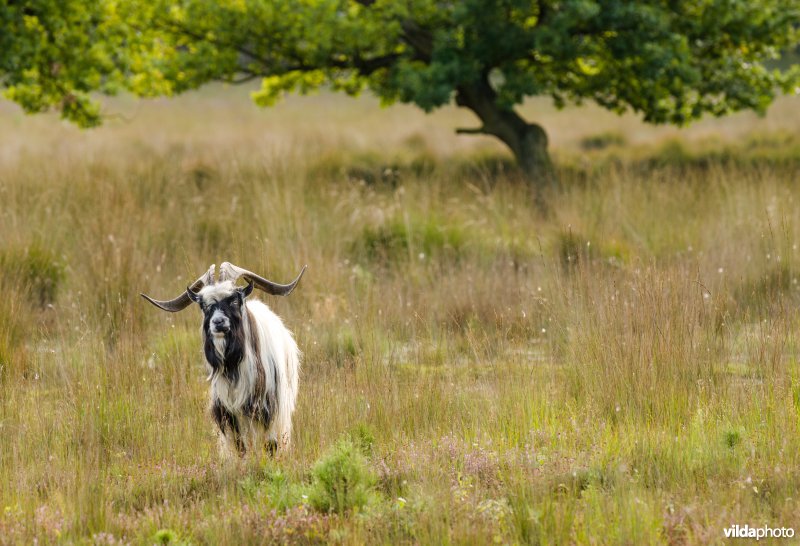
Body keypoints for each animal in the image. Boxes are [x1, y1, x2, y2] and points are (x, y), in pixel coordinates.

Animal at [142, 262, 304, 452]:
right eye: (204, 305)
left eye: (234, 299)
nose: (218, 322)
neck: (233, 367)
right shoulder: (227, 413)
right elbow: (241, 447)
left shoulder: (267, 409)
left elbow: (269, 444)